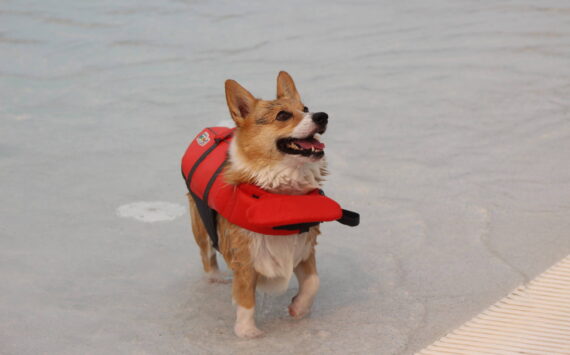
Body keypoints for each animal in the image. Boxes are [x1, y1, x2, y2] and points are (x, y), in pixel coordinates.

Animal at [187, 71, 326, 338]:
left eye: (306, 108)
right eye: (283, 115)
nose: (323, 116)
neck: (282, 193)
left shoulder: (305, 249)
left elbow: (314, 282)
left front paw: (298, 309)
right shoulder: (245, 262)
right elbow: (245, 301)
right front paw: (248, 333)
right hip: (201, 227)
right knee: (207, 257)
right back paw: (216, 279)